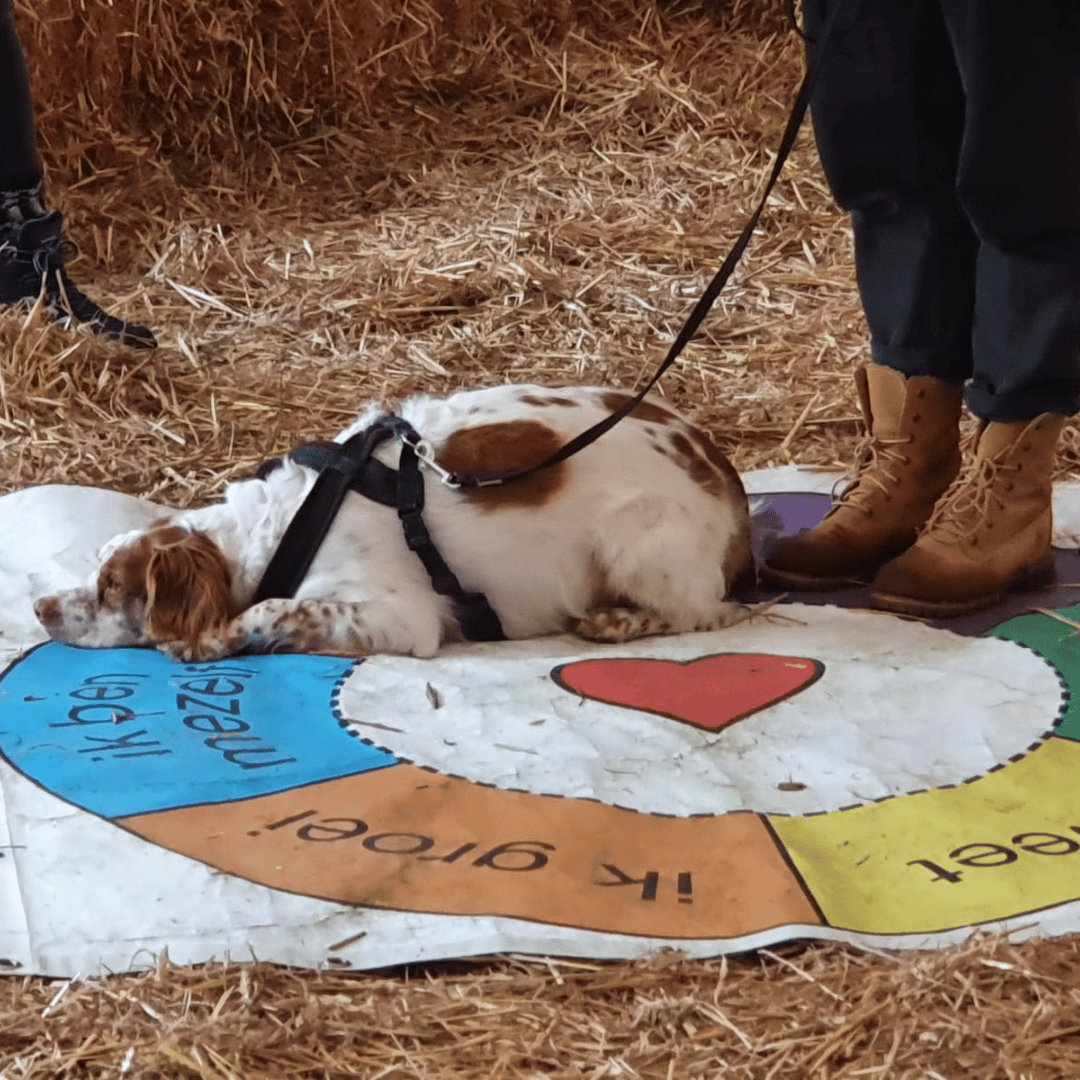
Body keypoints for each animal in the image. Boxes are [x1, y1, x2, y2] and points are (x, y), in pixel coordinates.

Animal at [35, 384, 760, 660]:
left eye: (111, 588)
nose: (39, 607)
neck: (275, 527)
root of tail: (728, 484)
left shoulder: (401, 615)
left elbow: (272, 608)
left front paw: (210, 639)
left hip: (639, 547)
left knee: (707, 613)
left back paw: (617, 621)